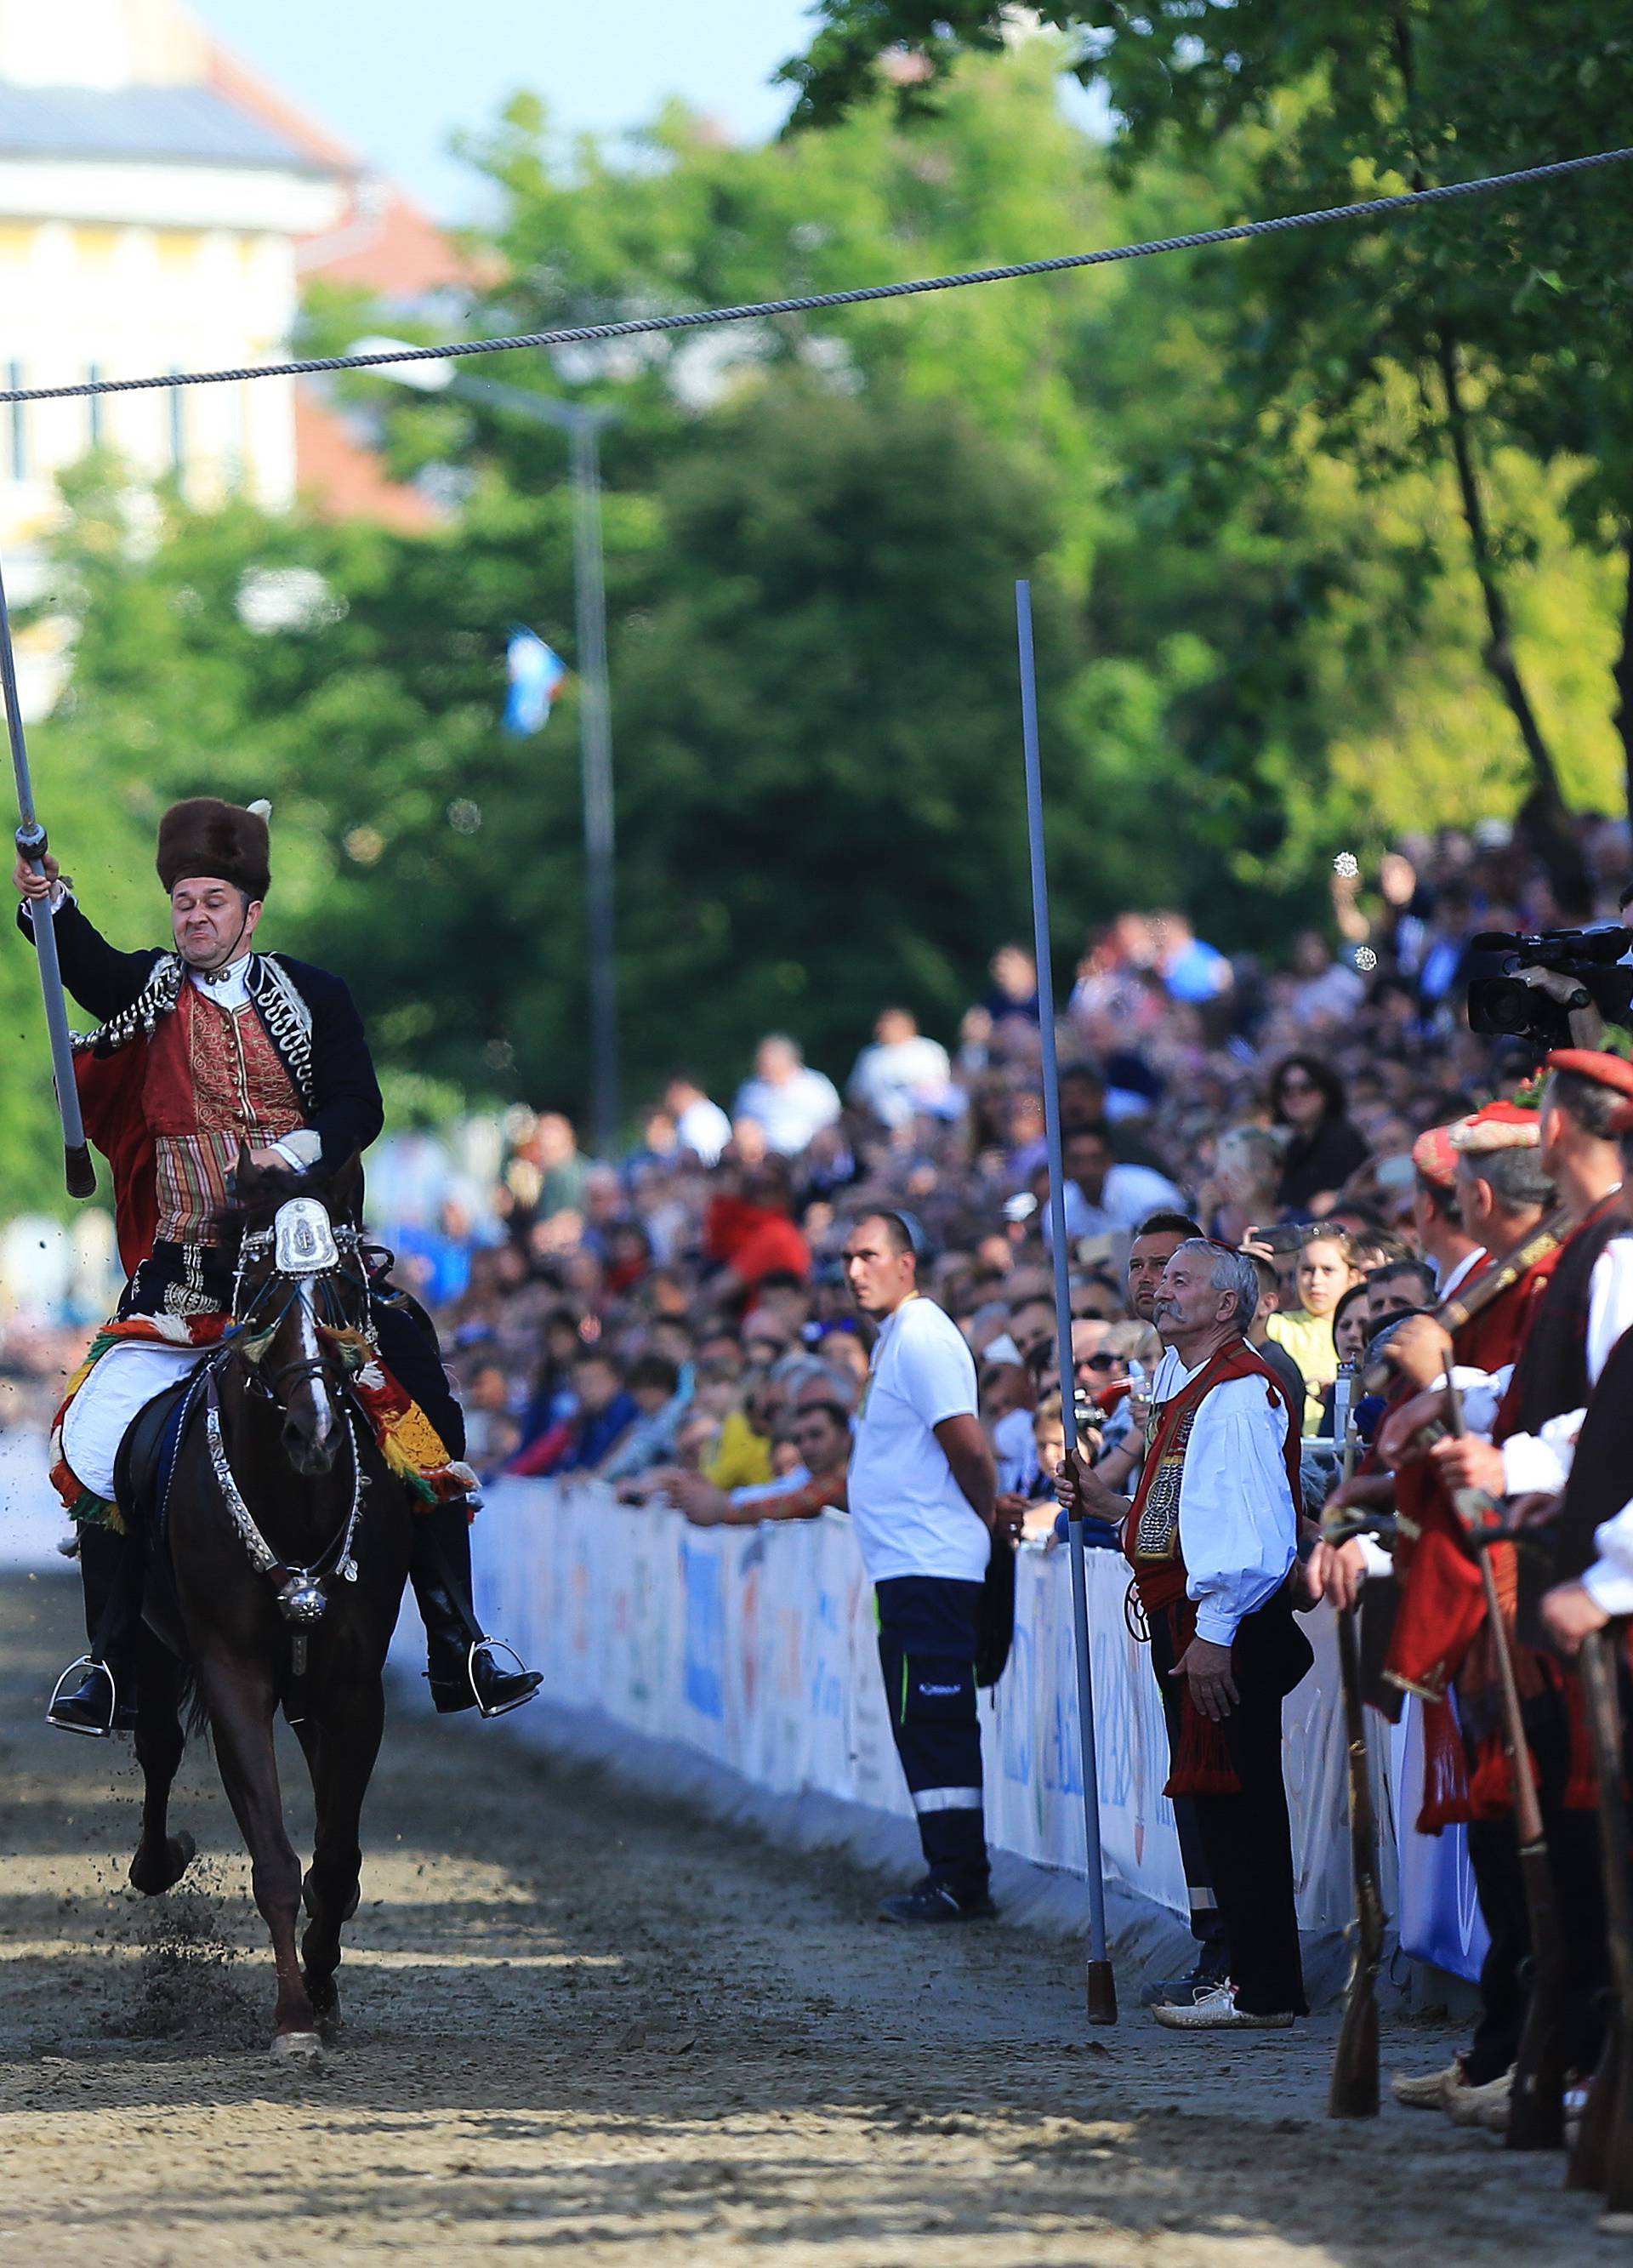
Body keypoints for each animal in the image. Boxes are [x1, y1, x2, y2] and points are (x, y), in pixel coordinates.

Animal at [125, 1160, 410, 2068]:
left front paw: (319, 1990)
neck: (295, 1505)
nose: (313, 1435)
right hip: (150, 1644)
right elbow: (278, 1861)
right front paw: (292, 2015)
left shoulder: (353, 1684)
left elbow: (338, 1857)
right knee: (156, 1745)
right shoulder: (231, 1672)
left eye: (345, 1292)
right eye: (262, 1305)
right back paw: (157, 1861)